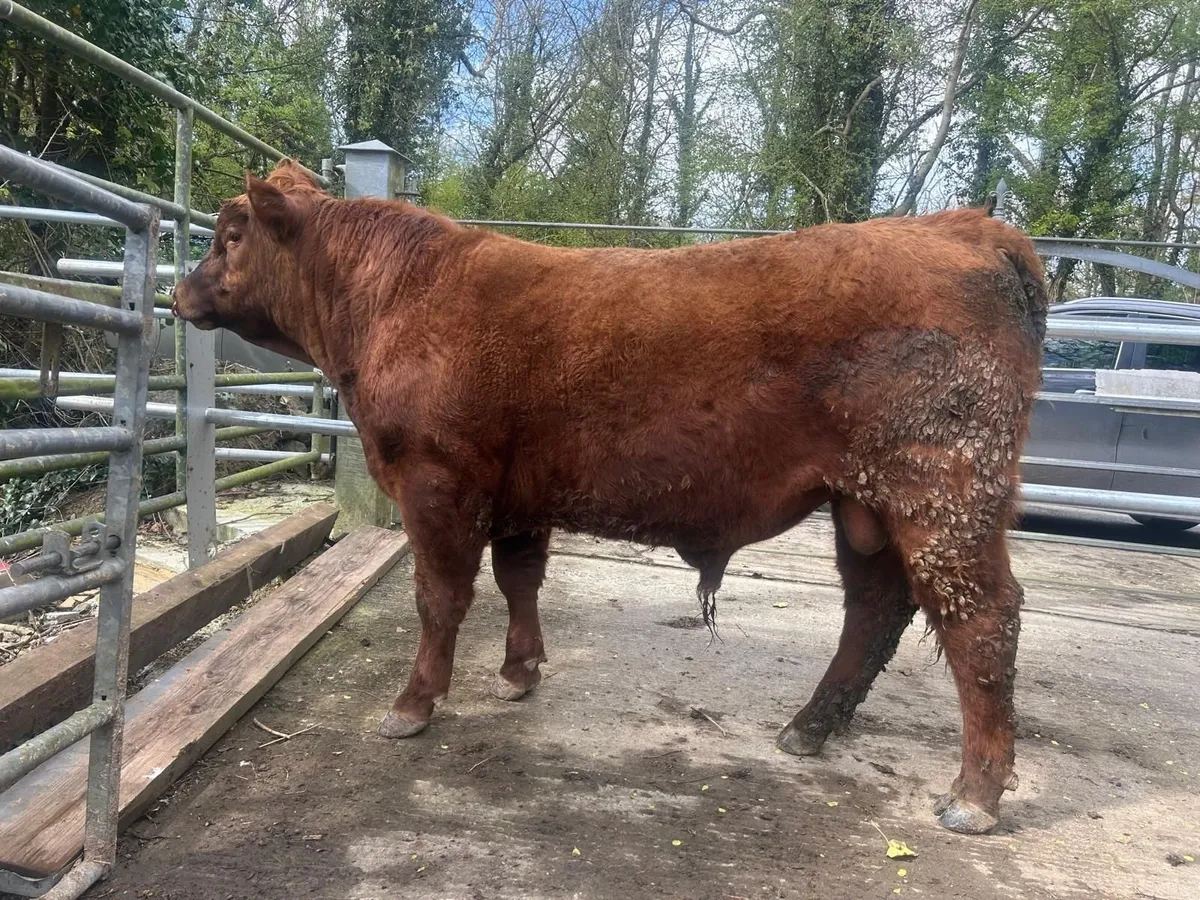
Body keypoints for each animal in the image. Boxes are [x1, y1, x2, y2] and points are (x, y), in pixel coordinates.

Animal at [173, 159, 1047, 835]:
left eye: (231, 235)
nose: (180, 296)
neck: (395, 296)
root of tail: (966, 228)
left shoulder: (437, 483)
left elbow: (440, 597)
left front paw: (413, 705)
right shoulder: (517, 496)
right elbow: (519, 579)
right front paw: (520, 671)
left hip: (941, 492)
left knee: (982, 620)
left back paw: (973, 796)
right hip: (862, 504)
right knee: (875, 607)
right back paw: (808, 729)